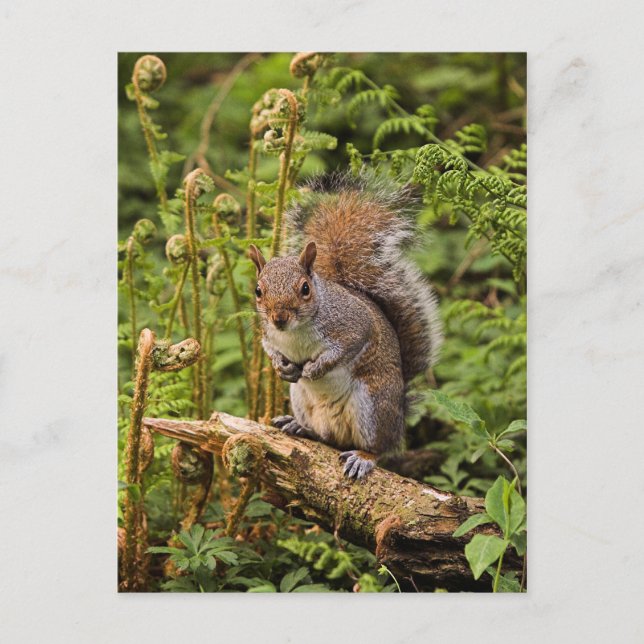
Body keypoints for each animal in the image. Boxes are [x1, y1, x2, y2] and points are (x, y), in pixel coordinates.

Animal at [248, 171, 442, 479]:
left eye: (305, 288)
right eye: (258, 290)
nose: (279, 318)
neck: (294, 333)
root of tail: (399, 418)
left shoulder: (354, 325)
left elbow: (347, 347)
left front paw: (315, 369)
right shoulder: (268, 335)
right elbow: (270, 348)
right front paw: (281, 366)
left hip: (372, 406)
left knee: (378, 448)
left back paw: (363, 457)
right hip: (301, 399)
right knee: (326, 437)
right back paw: (299, 426)